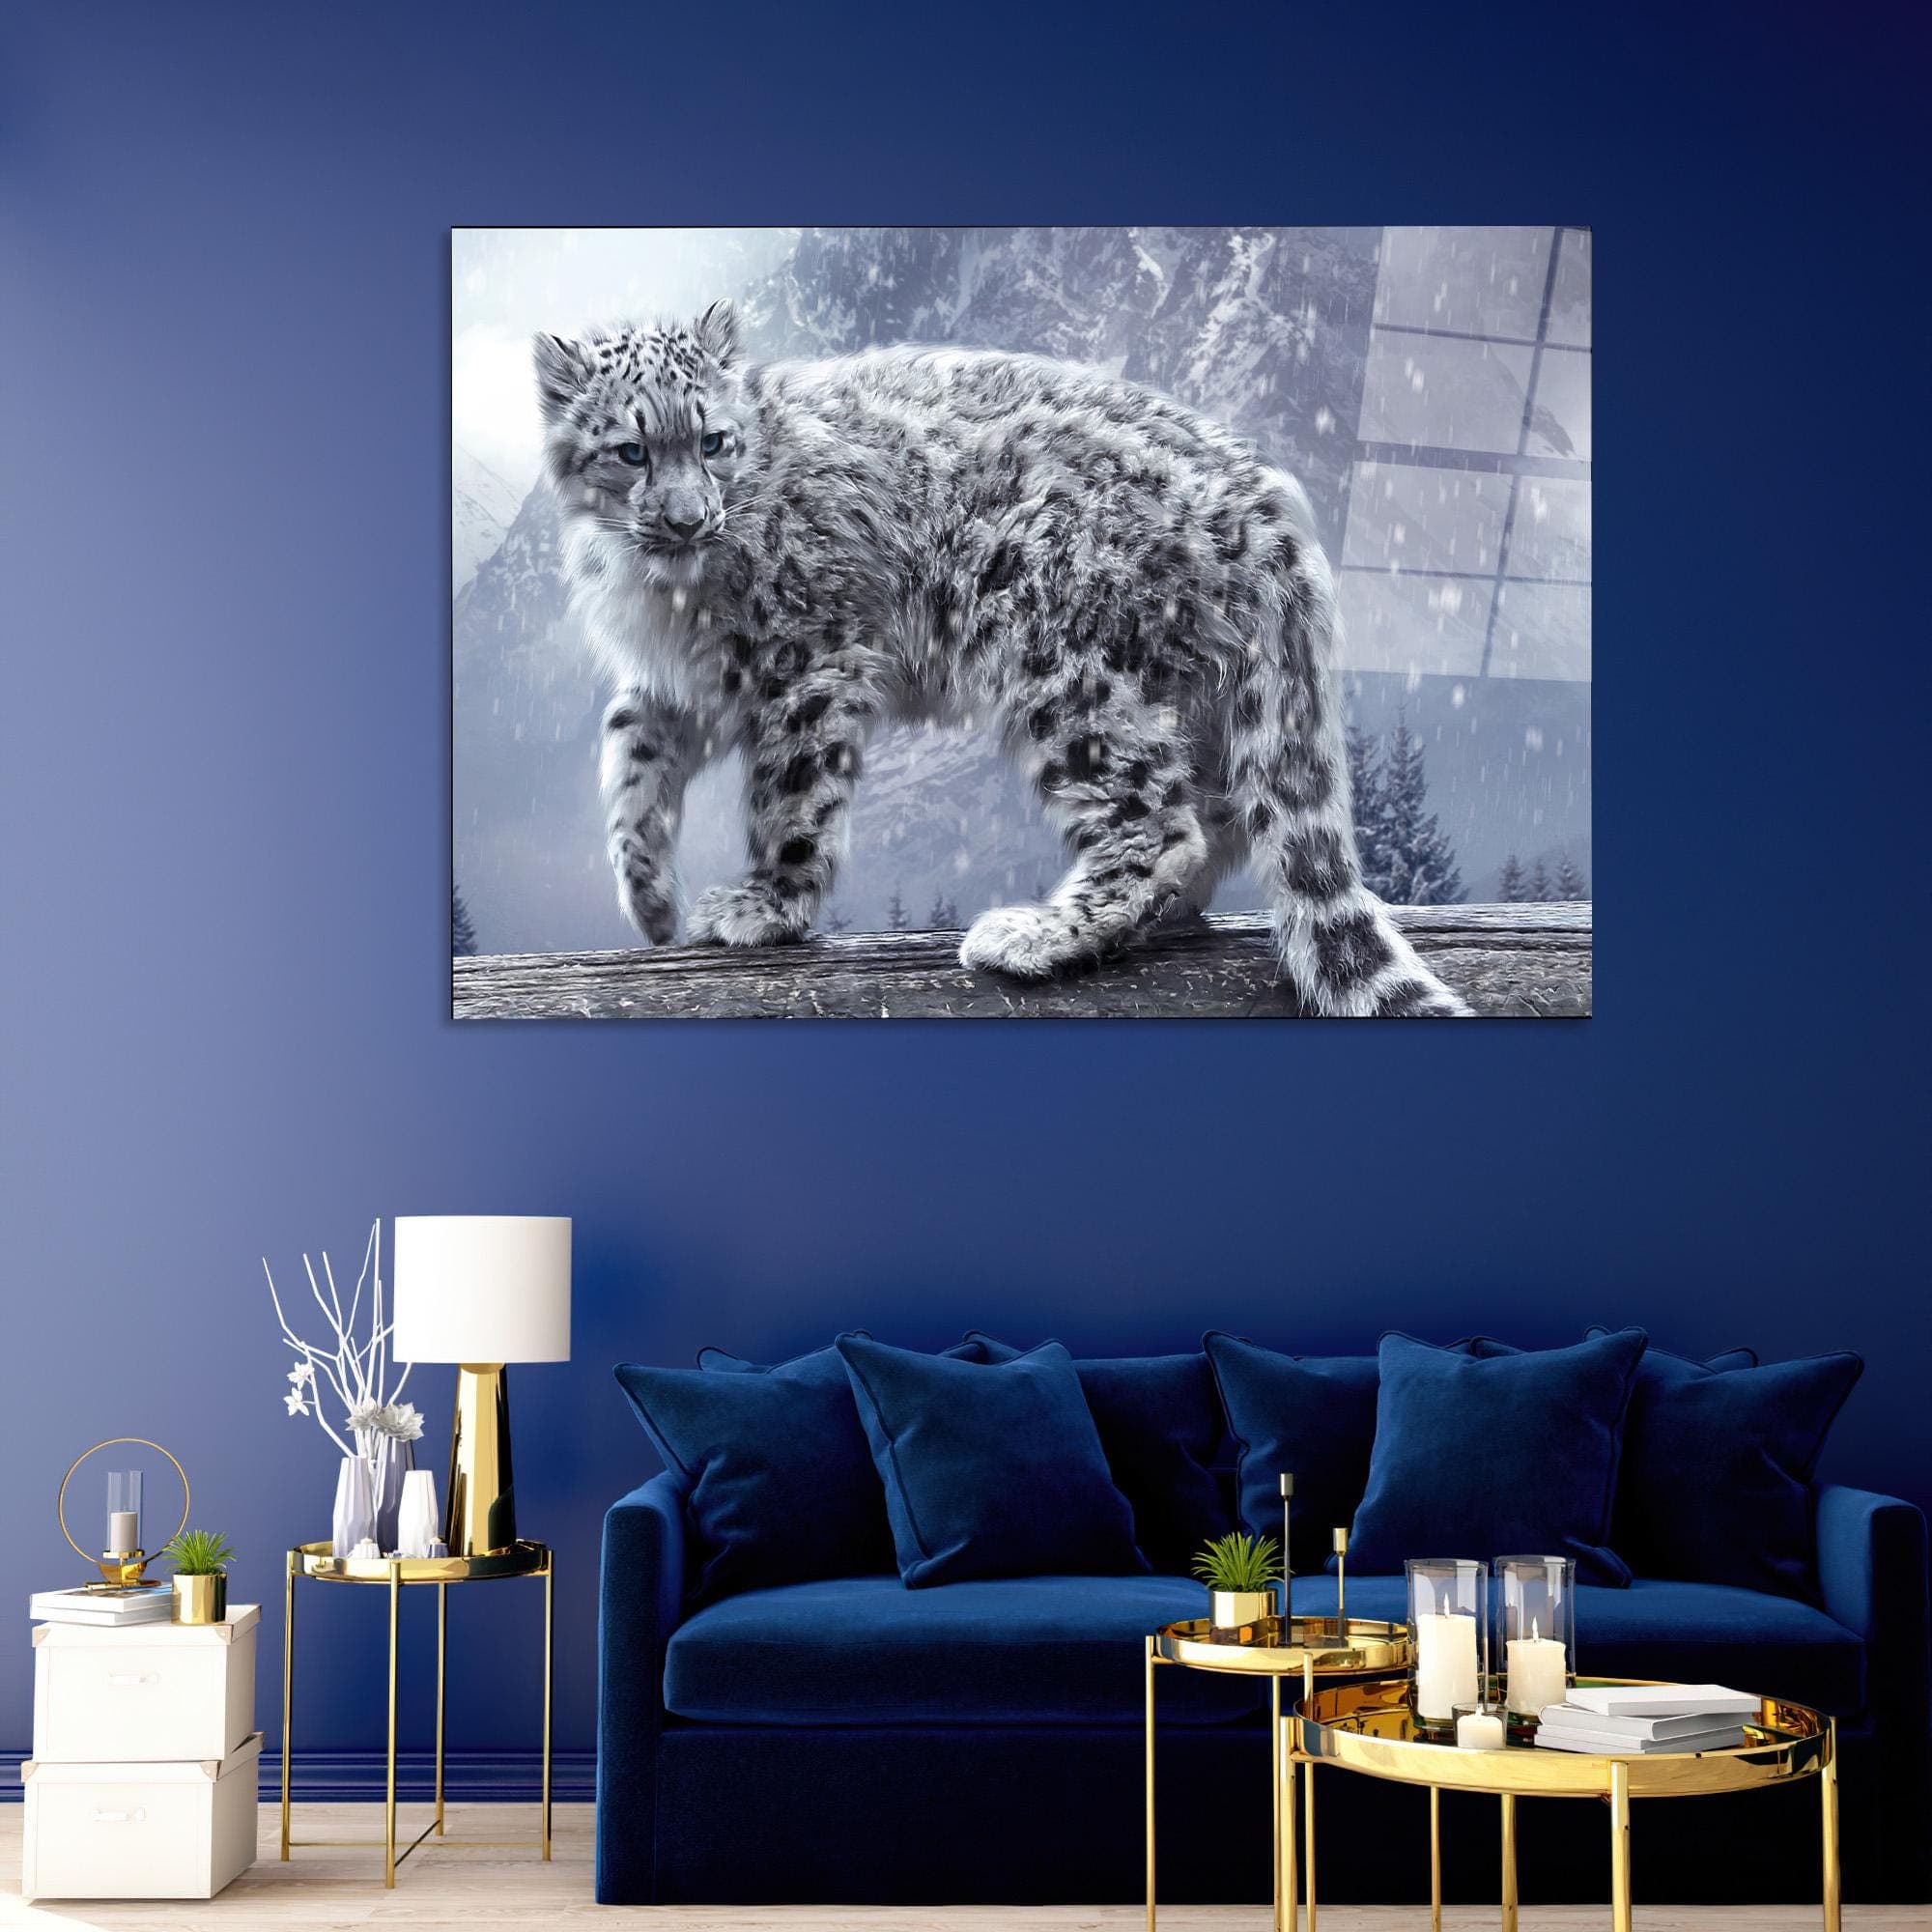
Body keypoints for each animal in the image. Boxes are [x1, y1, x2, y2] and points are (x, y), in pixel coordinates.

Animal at [534, 301, 1470, 1016]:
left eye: (714, 441)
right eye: (632, 451)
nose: (688, 519)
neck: (663, 594)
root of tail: (1266, 505)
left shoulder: (806, 662)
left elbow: (789, 795)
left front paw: (766, 906)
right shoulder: (682, 681)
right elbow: (629, 754)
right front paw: (650, 901)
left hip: (1063, 668)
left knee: (1163, 819)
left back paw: (1036, 936)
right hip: (1191, 690)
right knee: (1224, 814)